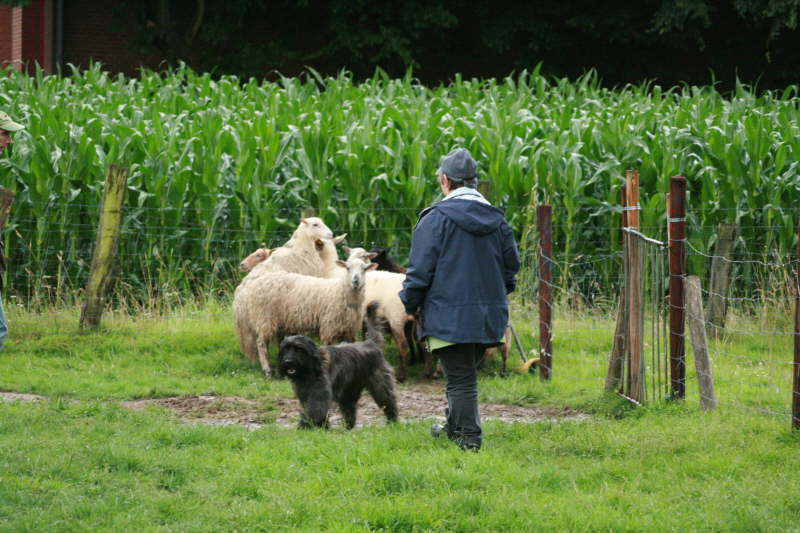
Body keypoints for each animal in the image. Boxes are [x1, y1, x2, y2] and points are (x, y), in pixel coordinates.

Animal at [234, 256, 378, 376]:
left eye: (364, 269)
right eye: (348, 268)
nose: (356, 281)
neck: (341, 292)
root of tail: (253, 285)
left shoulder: (350, 329)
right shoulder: (329, 327)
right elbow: (329, 346)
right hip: (264, 318)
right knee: (261, 343)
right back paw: (267, 370)